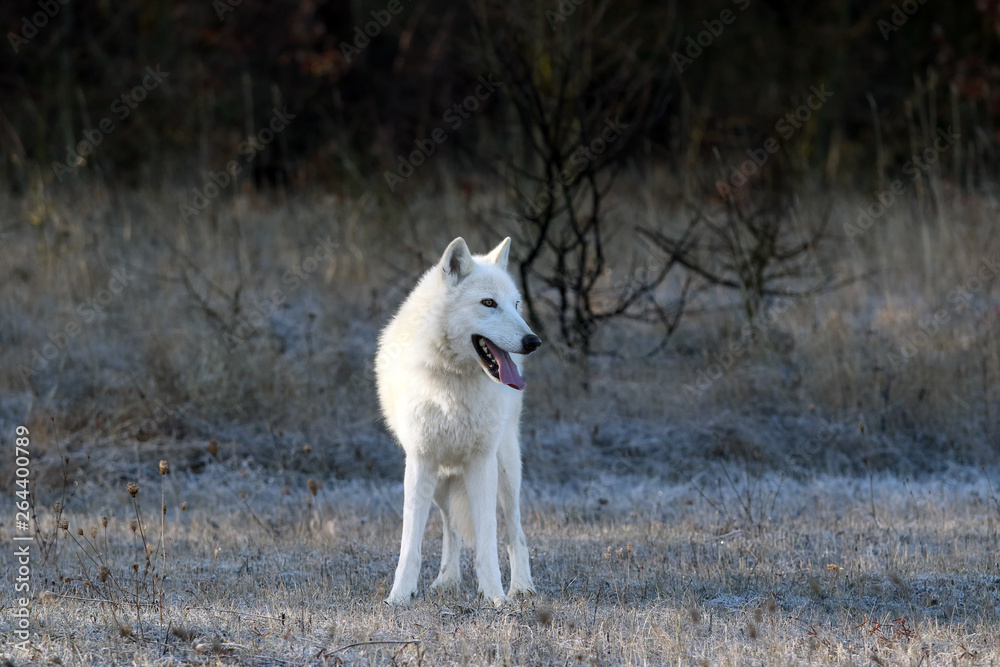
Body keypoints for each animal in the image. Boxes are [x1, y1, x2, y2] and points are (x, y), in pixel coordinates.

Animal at [375, 237, 542, 606]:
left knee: (515, 531)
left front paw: (496, 598)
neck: (453, 381)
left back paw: (522, 587)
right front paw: (399, 596)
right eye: (489, 303)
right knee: (450, 527)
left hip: (506, 469)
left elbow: (488, 542)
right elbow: (411, 544)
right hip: (441, 481)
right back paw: (447, 580)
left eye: (516, 305)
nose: (533, 341)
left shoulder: (482, 462)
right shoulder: (420, 463)